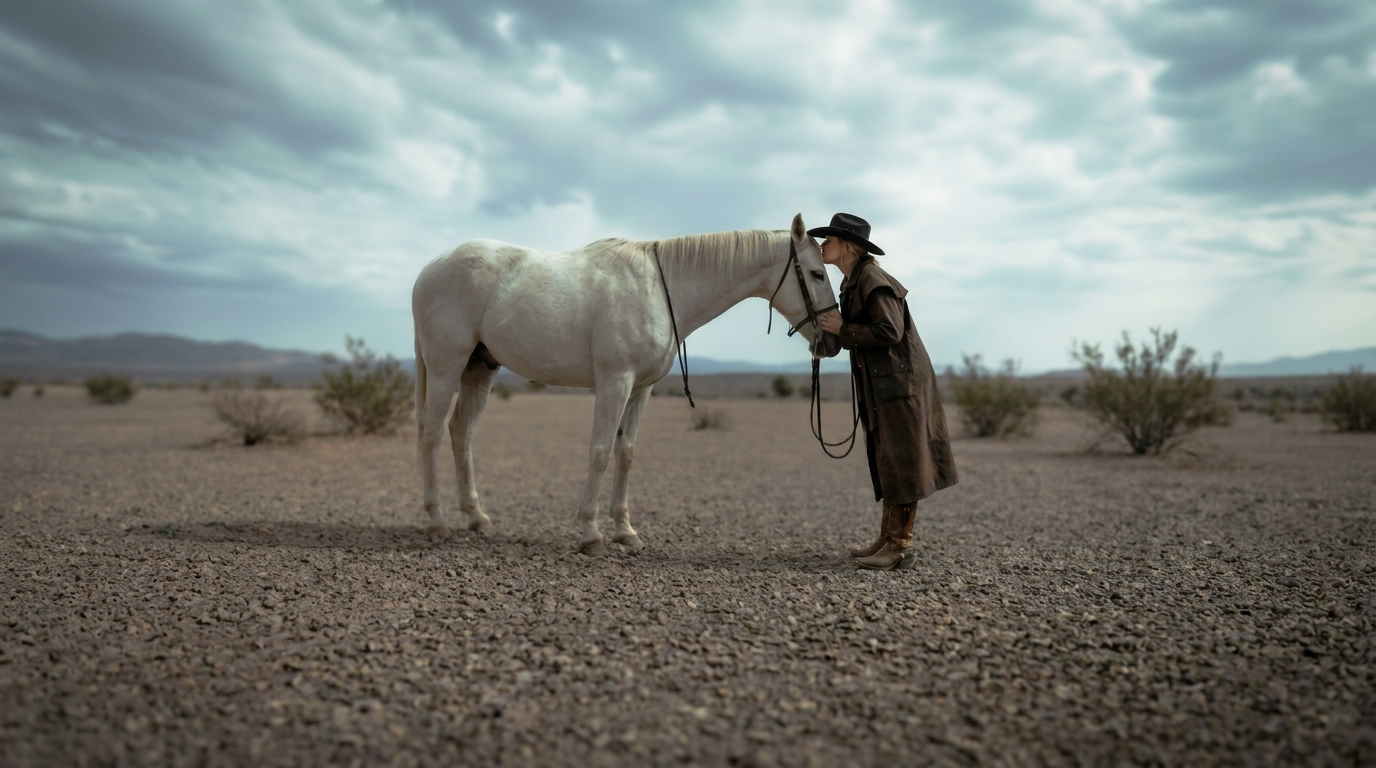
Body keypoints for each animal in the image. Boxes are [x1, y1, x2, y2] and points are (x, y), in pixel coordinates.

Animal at [411, 213, 837, 555]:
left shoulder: (641, 389)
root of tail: (429, 269)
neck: (661, 289)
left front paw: (625, 531)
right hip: (446, 367)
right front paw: (591, 533)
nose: (832, 342)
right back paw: (436, 520)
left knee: (461, 433)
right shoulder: (615, 381)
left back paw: (476, 517)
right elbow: (600, 452)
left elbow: (626, 453)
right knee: (431, 434)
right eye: (817, 273)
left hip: (479, 369)